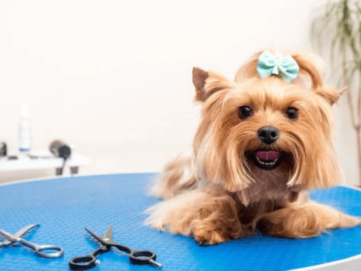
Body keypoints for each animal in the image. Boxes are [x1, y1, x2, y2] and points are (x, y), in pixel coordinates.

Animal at [144, 49, 360, 246]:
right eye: (244, 110)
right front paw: (212, 228)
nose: (268, 132)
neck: (264, 178)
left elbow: (303, 217)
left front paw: (270, 221)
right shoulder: (190, 203)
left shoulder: (310, 208)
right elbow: (219, 203)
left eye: (292, 113)